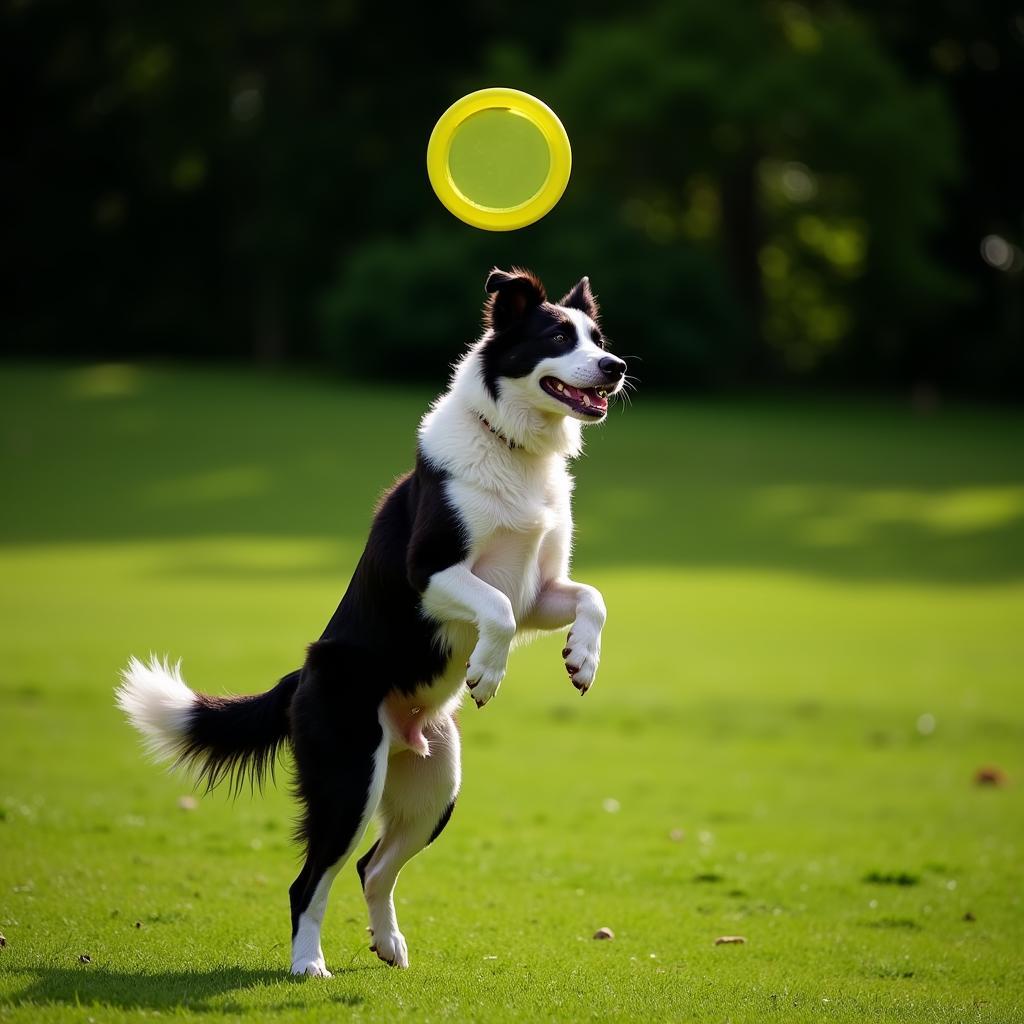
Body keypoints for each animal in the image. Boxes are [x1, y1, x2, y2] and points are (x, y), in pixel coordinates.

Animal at [118, 270, 626, 974]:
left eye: (598, 338)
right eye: (557, 337)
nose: (616, 367)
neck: (514, 446)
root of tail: (300, 677)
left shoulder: (540, 591)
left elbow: (592, 597)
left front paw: (582, 659)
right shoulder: (430, 574)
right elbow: (494, 609)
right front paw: (487, 674)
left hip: (436, 785)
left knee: (372, 867)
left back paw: (389, 946)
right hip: (350, 777)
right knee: (310, 879)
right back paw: (309, 966)